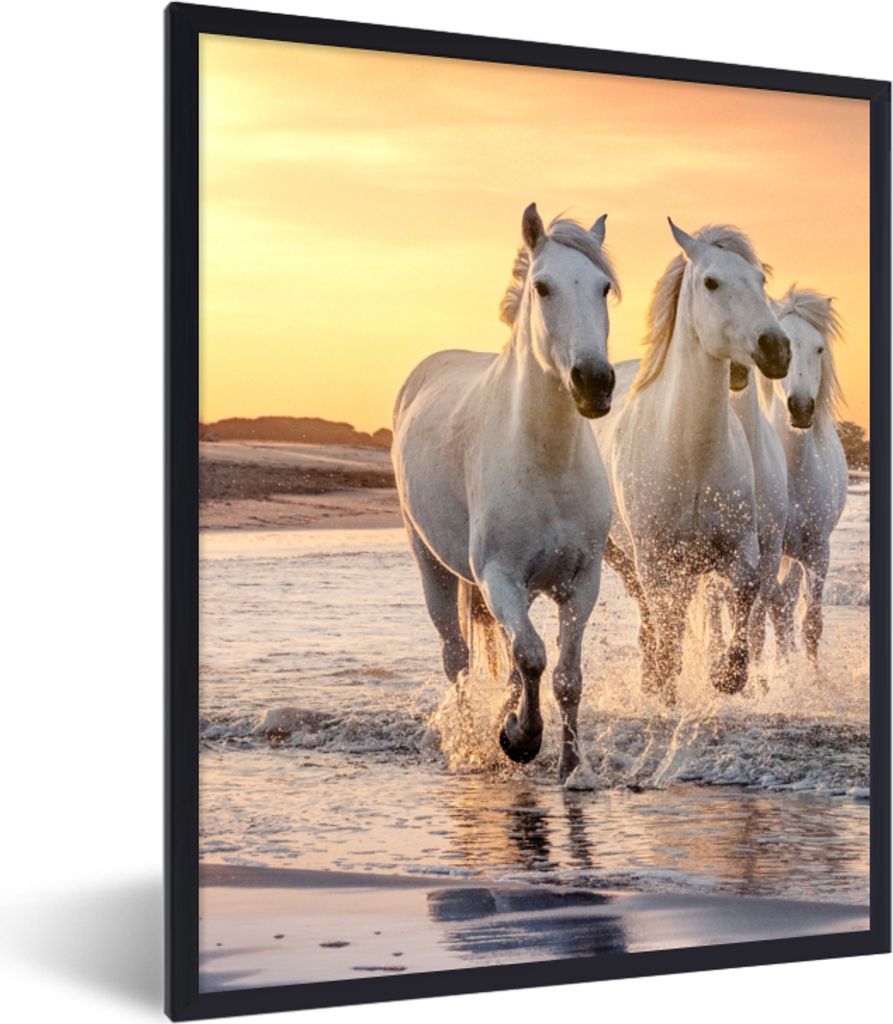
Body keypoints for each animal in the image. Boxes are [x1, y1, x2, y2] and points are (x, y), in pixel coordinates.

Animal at [392, 204, 619, 782]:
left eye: (604, 288)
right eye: (542, 286)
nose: (594, 382)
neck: (546, 461)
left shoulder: (581, 581)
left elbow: (564, 675)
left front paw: (571, 767)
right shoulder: (499, 575)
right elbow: (534, 657)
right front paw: (520, 739)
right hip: (432, 565)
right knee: (457, 658)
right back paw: (474, 744)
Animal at [592, 220, 790, 705]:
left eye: (760, 280)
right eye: (711, 282)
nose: (776, 348)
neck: (690, 456)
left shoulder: (740, 548)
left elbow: (745, 594)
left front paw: (728, 676)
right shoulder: (656, 558)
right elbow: (667, 620)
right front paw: (665, 682)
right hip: (621, 554)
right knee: (651, 613)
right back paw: (652, 677)